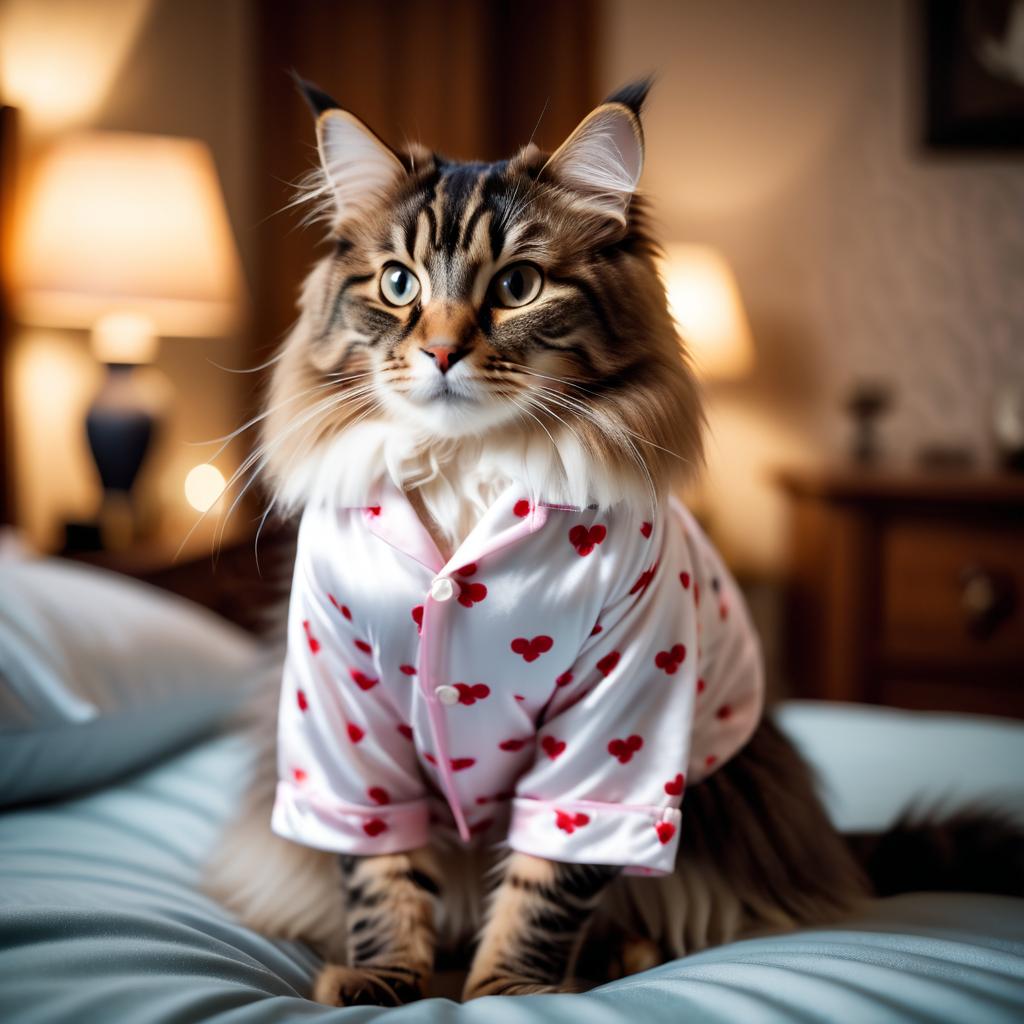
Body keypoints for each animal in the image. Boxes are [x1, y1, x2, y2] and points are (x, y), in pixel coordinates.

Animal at [201, 81, 1024, 1007]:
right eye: (398, 283)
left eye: (518, 285)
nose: (441, 350)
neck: (466, 471)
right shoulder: (344, 717)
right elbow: (382, 875)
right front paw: (384, 979)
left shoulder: (619, 720)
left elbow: (547, 886)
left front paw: (506, 995)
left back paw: (621, 956)